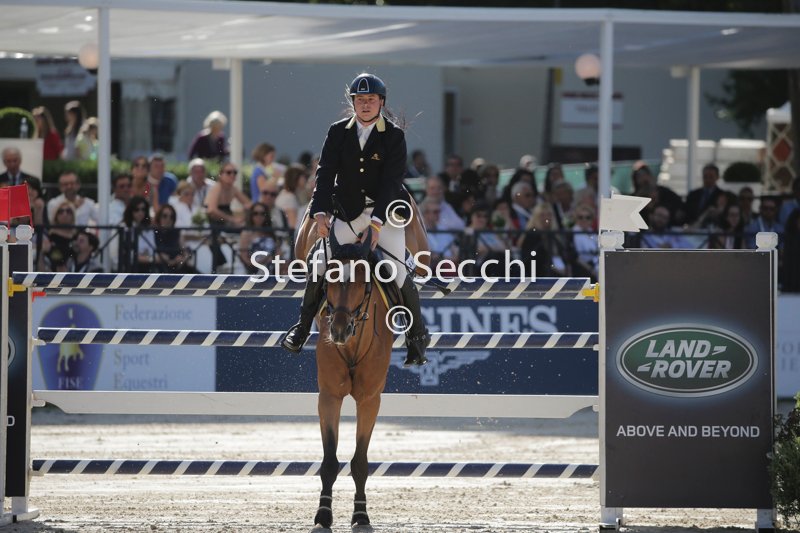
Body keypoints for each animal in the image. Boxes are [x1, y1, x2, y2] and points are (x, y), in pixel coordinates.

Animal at [294, 196, 429, 531]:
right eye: (328, 281)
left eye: (360, 282)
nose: (339, 330)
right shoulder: (329, 396)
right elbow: (330, 461)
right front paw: (323, 514)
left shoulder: (369, 399)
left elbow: (360, 462)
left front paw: (361, 515)